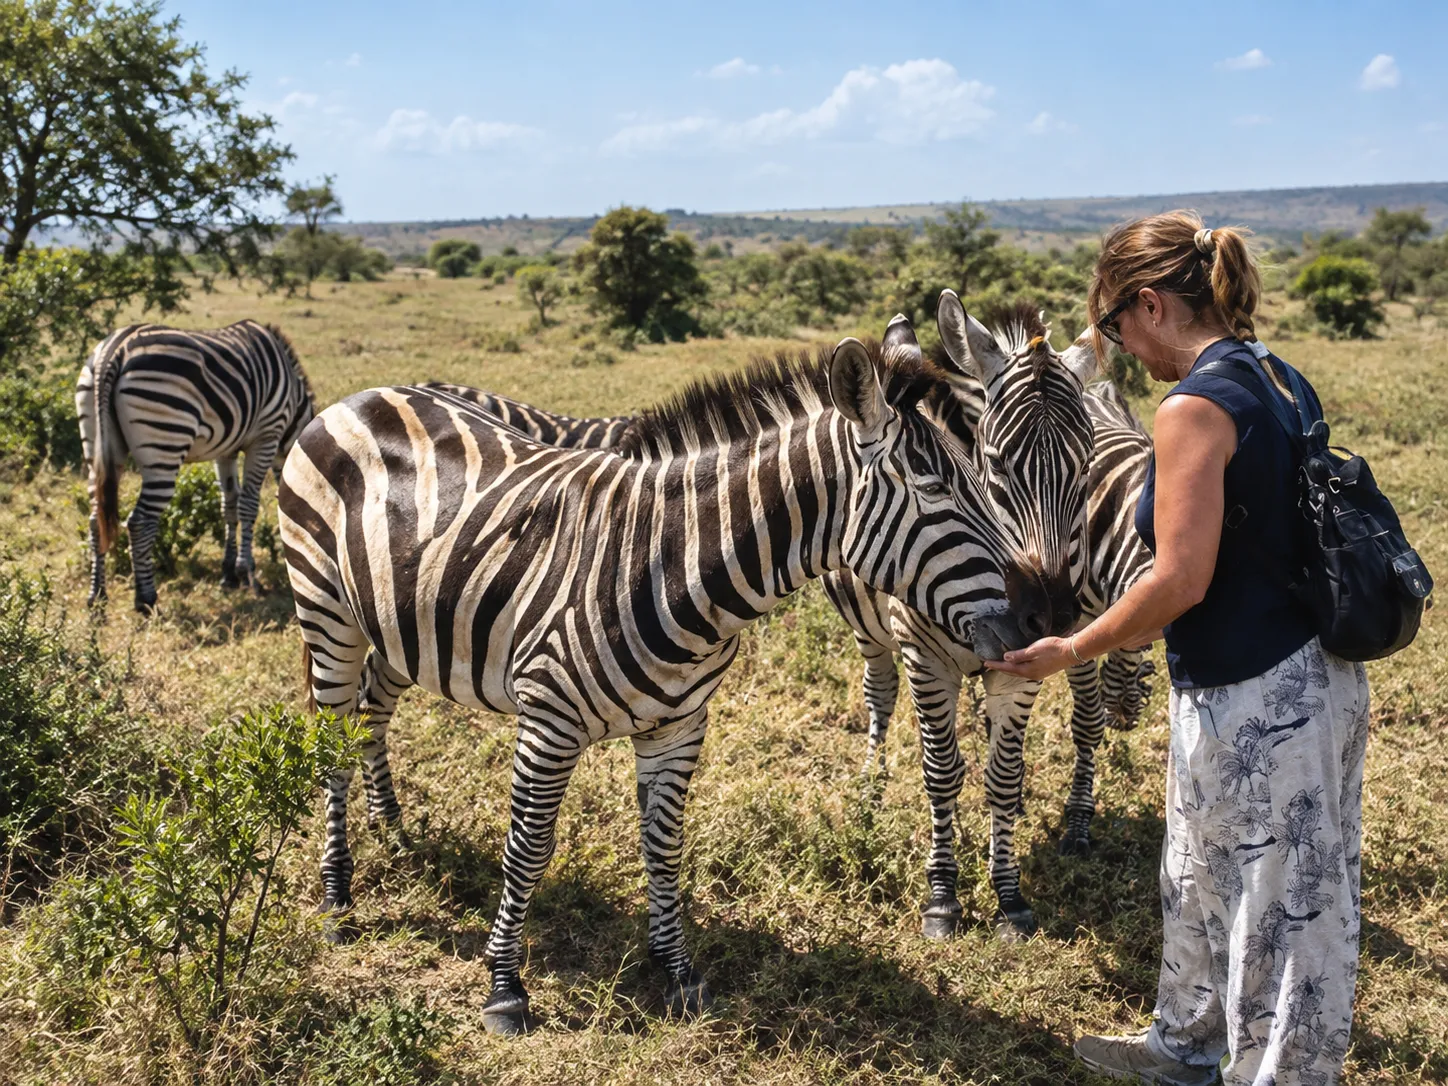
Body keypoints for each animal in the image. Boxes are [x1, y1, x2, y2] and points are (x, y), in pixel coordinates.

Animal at [75, 321, 315, 613]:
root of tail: (114, 350)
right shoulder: (266, 436)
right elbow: (248, 505)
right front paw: (247, 574)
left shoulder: (226, 450)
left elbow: (229, 505)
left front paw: (228, 574)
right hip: (165, 441)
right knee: (140, 521)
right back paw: (146, 599)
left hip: (96, 440)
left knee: (95, 519)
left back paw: (97, 595)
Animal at [818, 291, 1104, 939]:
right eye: (995, 466)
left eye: (1085, 468)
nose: (1050, 614)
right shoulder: (923, 657)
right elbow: (941, 773)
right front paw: (942, 896)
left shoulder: (1027, 667)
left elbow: (1003, 773)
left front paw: (1008, 895)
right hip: (870, 634)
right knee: (879, 696)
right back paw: (871, 791)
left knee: (1085, 721)